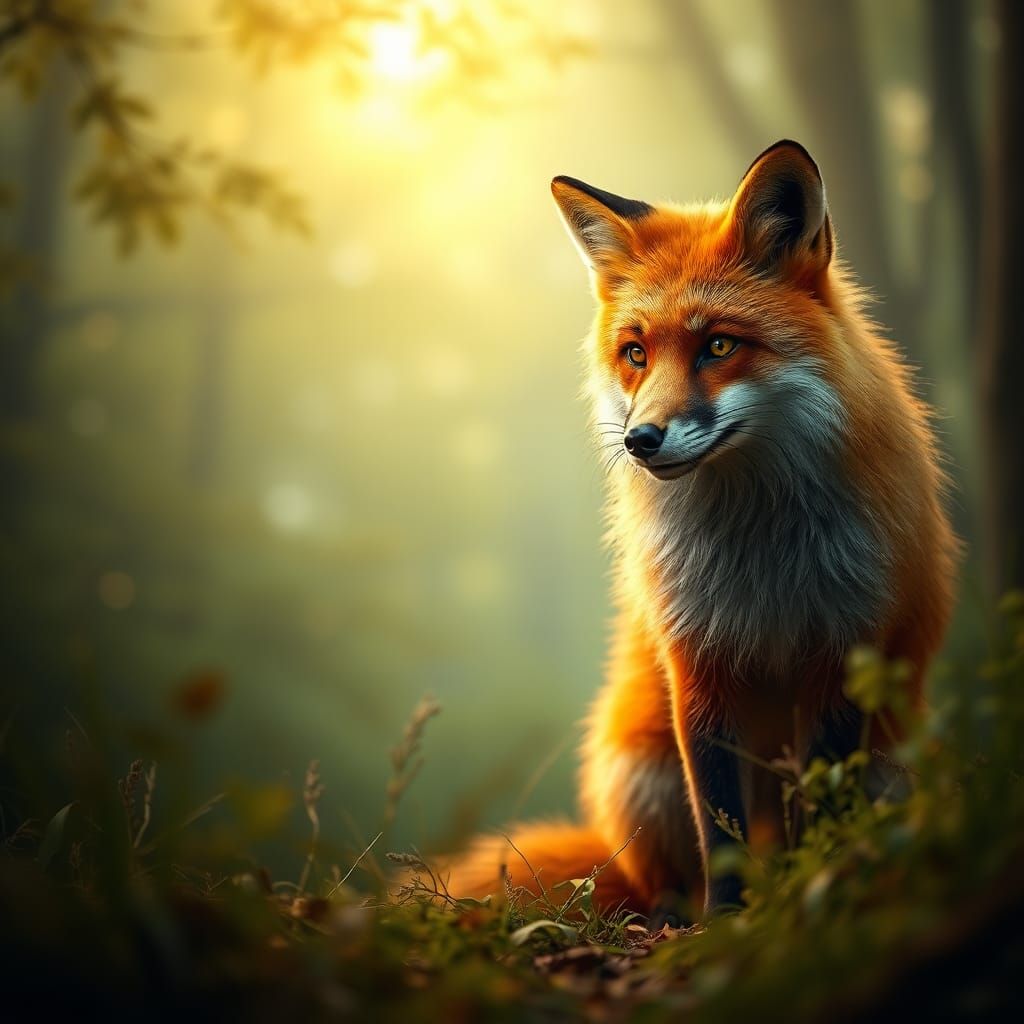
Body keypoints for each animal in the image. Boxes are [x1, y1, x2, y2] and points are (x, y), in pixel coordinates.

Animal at [442, 140, 958, 923]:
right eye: (635, 353)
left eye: (718, 345)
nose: (640, 440)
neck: (761, 547)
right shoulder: (699, 661)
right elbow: (720, 822)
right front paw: (726, 920)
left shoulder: (846, 652)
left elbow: (819, 803)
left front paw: (814, 886)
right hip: (640, 768)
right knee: (655, 882)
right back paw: (674, 912)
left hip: (892, 762)